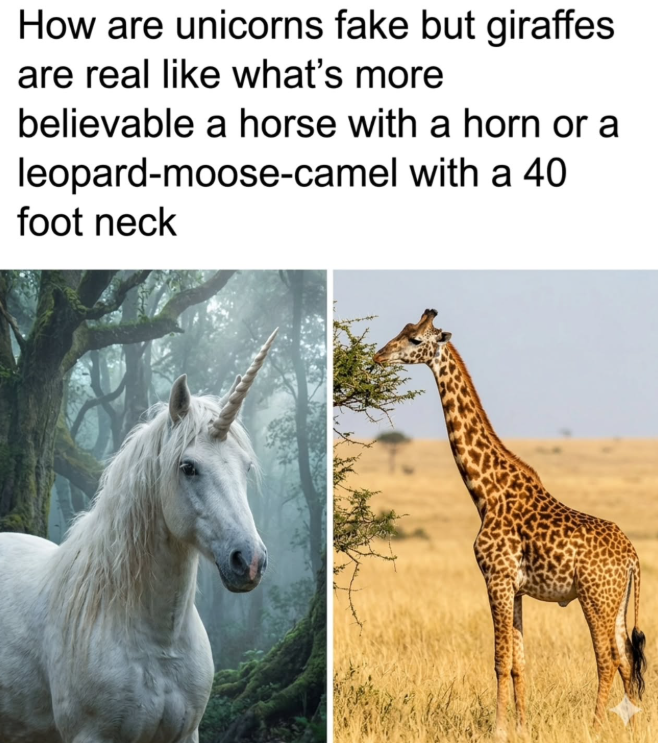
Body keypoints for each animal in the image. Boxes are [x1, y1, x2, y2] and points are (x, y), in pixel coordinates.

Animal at [0, 329, 277, 743]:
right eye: (188, 467)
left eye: (245, 468)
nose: (250, 560)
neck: (159, 641)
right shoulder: (92, 735)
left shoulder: (186, 733)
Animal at [373, 309, 646, 736]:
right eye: (402, 331)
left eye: (416, 340)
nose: (379, 355)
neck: (486, 492)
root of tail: (633, 557)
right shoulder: (515, 588)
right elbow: (519, 663)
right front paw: (521, 726)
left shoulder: (496, 578)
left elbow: (500, 661)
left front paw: (498, 729)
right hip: (616, 601)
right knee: (626, 658)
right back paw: (630, 726)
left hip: (594, 597)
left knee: (606, 658)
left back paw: (596, 726)